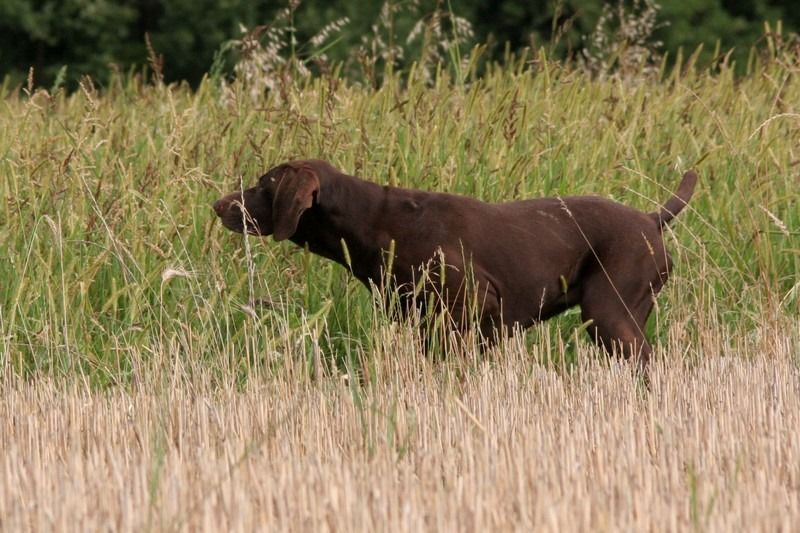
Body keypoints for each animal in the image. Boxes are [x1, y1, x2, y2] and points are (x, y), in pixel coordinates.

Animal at [212, 161, 692, 370]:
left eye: (262, 186)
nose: (217, 205)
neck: (372, 219)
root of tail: (651, 219)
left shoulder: (472, 304)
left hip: (609, 313)